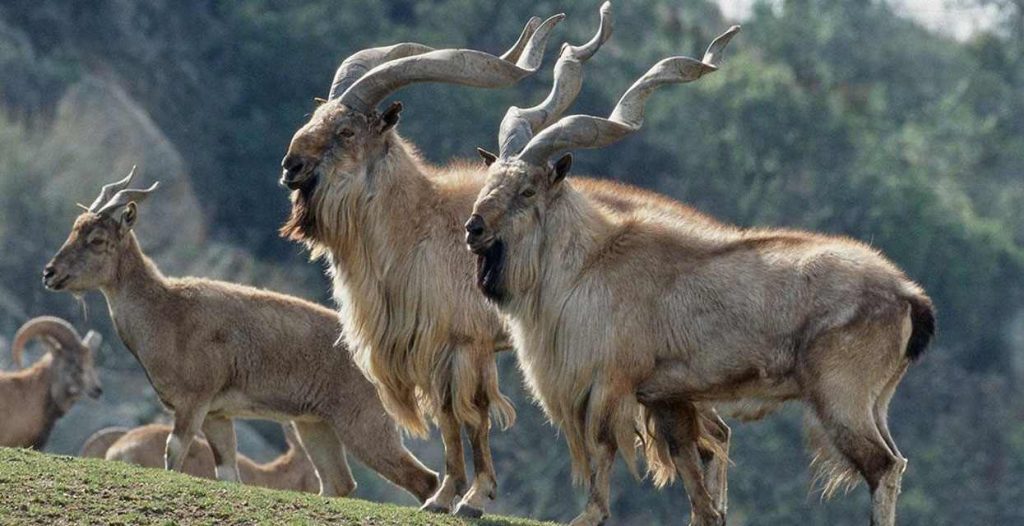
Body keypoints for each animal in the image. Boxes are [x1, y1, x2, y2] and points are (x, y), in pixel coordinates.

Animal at [468, 24, 933, 523]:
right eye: (490, 178)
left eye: (527, 190)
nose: (473, 228)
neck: (588, 263)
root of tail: (911, 297)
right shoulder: (667, 396)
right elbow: (691, 470)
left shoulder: (609, 383)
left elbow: (605, 447)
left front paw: (590, 514)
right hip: (876, 401)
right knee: (895, 459)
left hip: (842, 396)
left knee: (882, 465)